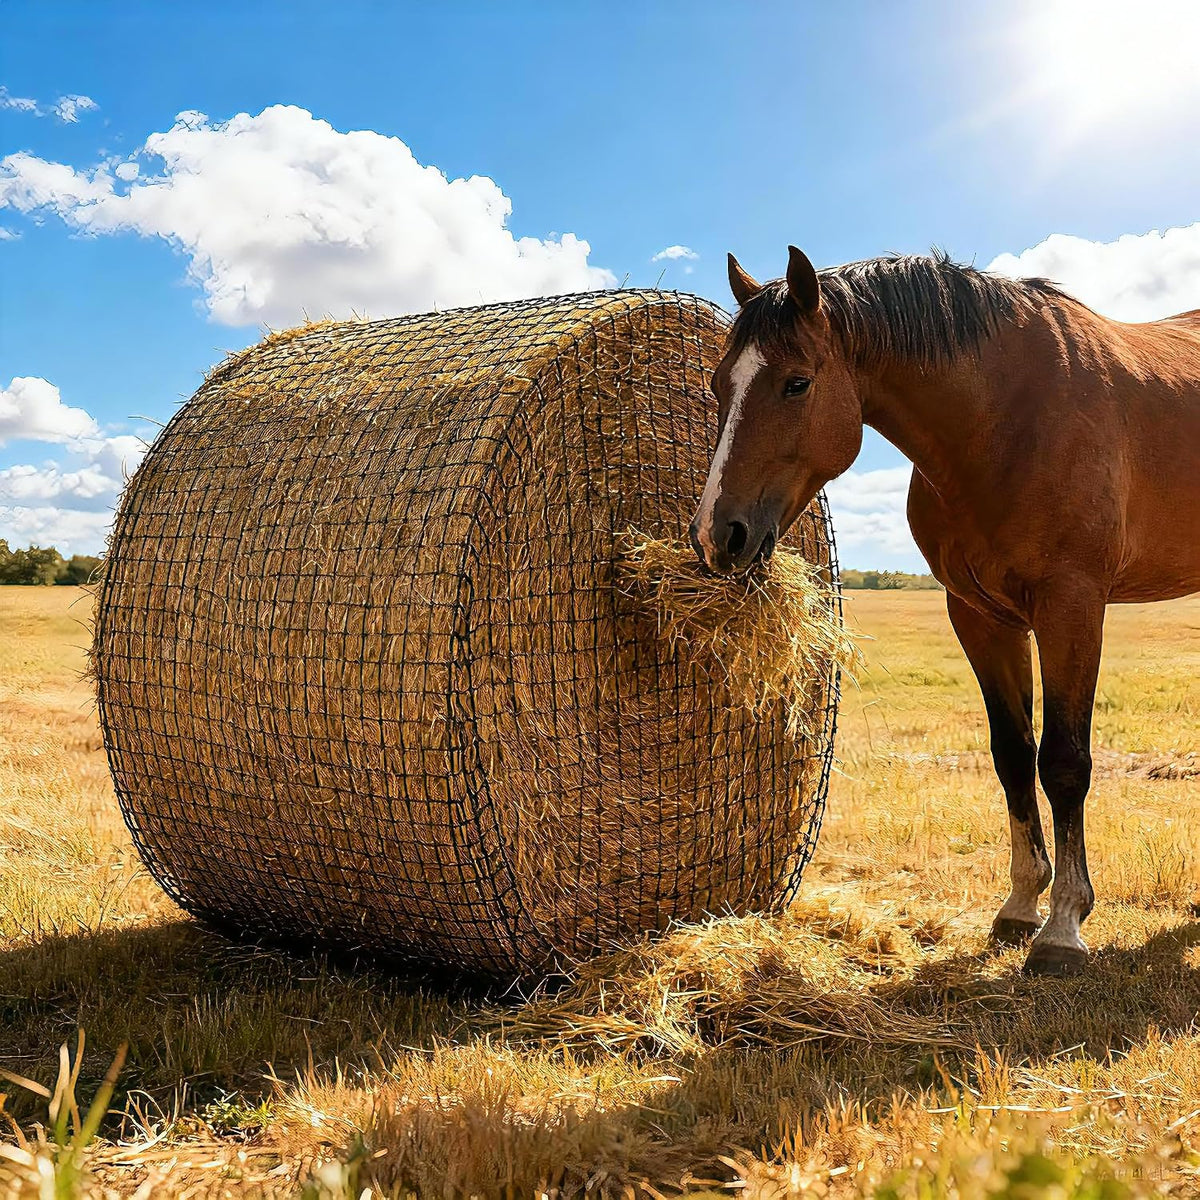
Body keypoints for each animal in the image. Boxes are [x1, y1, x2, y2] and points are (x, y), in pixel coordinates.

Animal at [690, 246, 1200, 975]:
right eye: (719, 385)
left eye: (795, 384)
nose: (715, 535)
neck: (1004, 416)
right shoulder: (981, 616)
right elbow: (1012, 755)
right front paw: (1020, 905)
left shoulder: (1071, 605)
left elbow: (1064, 762)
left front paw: (1063, 927)